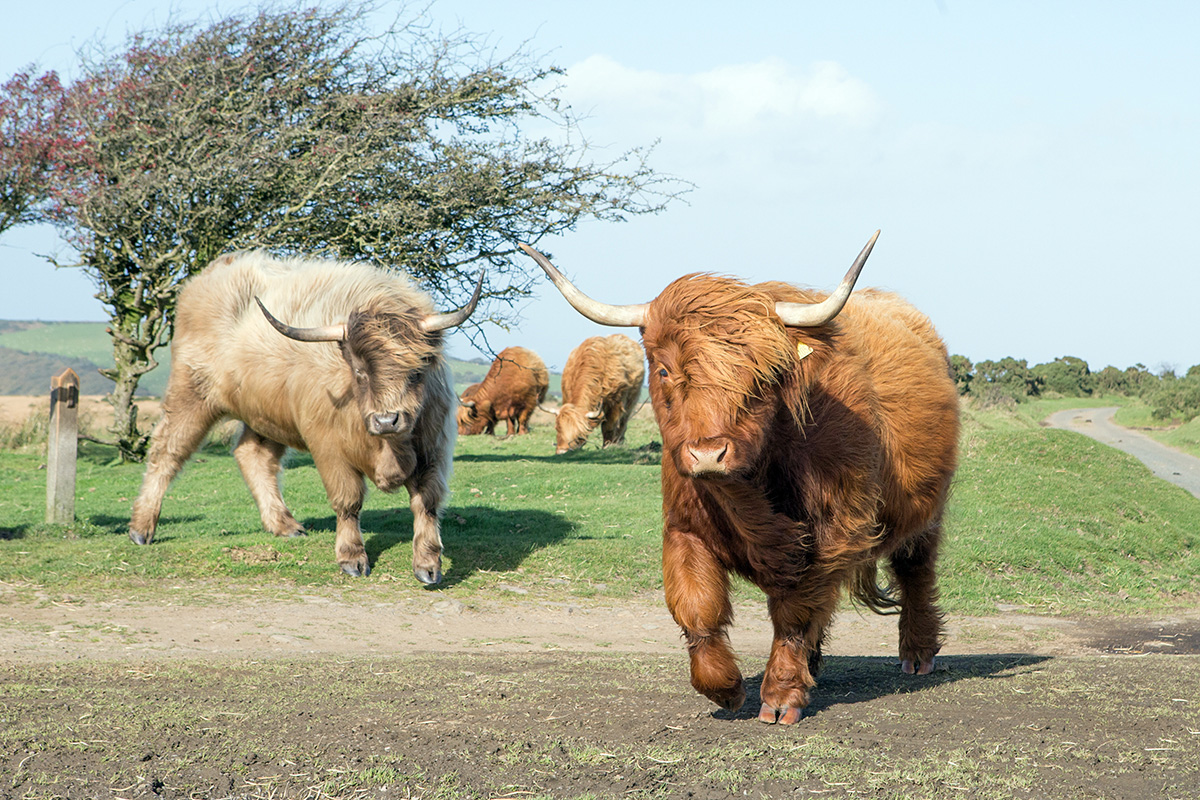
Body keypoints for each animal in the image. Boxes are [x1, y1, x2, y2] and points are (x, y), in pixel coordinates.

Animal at [127, 250, 482, 582]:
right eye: (359, 371)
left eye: (418, 370)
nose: (386, 421)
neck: (388, 448)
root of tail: (213, 272)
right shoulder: (329, 449)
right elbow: (348, 500)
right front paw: (351, 557)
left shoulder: (435, 448)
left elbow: (427, 502)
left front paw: (428, 564)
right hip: (190, 394)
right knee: (166, 451)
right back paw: (142, 528)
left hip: (265, 414)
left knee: (253, 455)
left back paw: (284, 524)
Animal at [520, 232, 960, 724]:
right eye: (666, 369)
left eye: (765, 375)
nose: (708, 453)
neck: (747, 497)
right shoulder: (684, 529)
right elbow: (696, 608)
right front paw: (725, 688)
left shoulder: (830, 533)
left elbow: (795, 613)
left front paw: (782, 695)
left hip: (926, 512)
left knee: (915, 569)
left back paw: (917, 654)